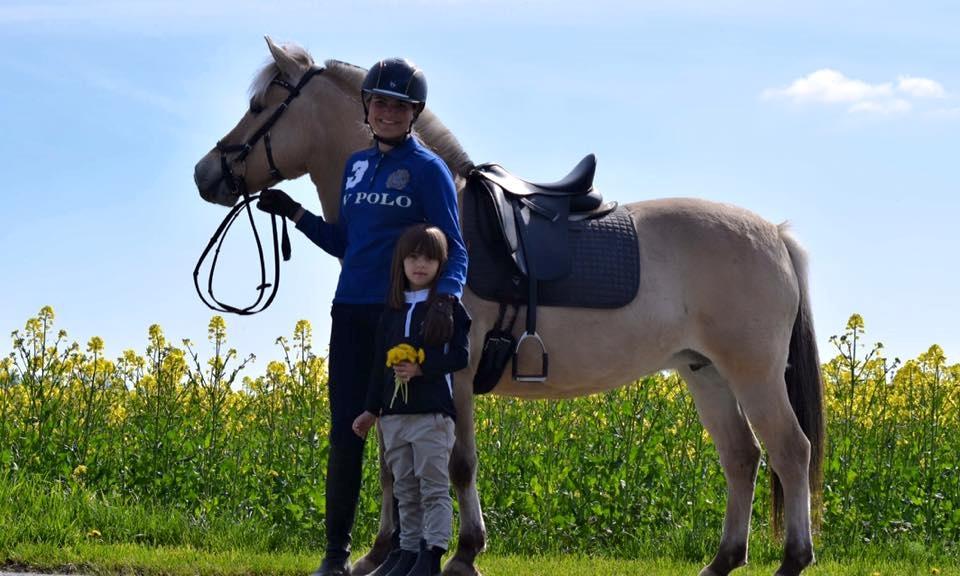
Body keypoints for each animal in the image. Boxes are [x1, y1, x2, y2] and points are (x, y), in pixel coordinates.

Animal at [193, 37, 824, 576]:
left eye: (259, 105)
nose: (206, 173)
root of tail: (775, 234)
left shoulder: (455, 378)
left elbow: (457, 465)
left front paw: (463, 553)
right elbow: (391, 466)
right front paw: (381, 553)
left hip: (753, 374)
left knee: (790, 452)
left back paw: (792, 559)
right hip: (706, 373)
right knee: (742, 459)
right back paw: (722, 560)